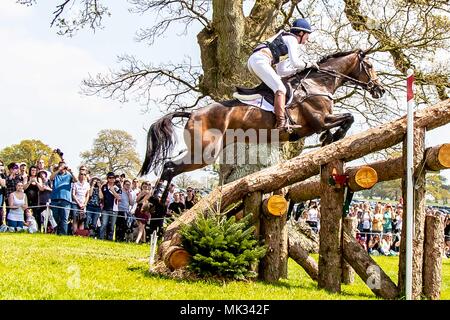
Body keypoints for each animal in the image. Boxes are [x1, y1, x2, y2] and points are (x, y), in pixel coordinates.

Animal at [140, 48, 384, 202]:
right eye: (370, 65)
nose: (379, 90)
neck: (318, 82)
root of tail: (192, 112)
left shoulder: (319, 123)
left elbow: (344, 120)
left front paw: (329, 139)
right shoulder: (319, 120)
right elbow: (349, 117)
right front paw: (335, 136)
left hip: (201, 150)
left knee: (169, 166)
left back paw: (158, 204)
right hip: (205, 153)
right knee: (171, 167)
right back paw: (156, 201)